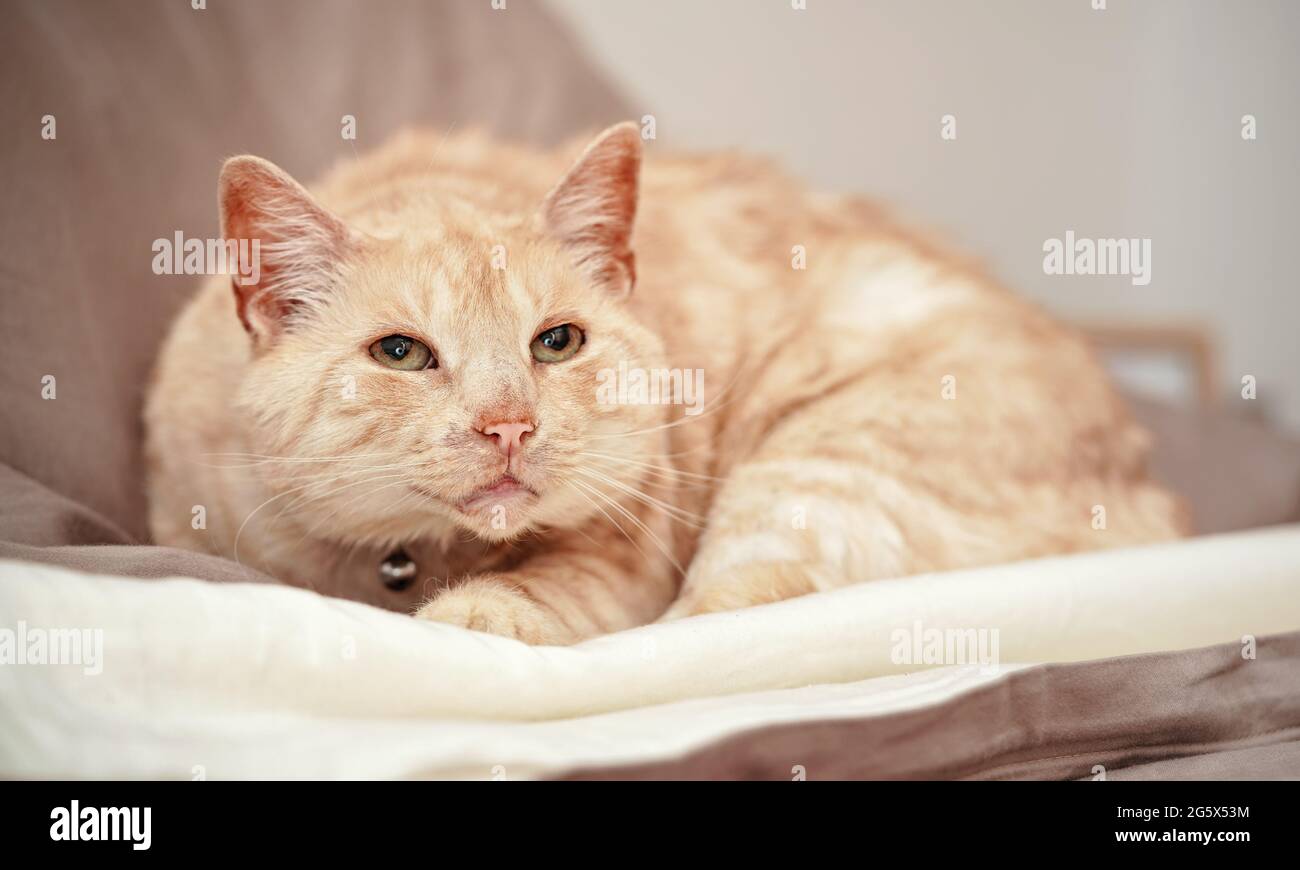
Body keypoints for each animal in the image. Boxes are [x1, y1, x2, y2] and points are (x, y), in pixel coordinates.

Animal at [144, 118, 1190, 642]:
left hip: (817, 471)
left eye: (556, 342)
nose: (508, 426)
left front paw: (481, 612)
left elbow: (549, 597)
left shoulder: (627, 552)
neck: (405, 564)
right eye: (400, 353)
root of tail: (1153, 500)